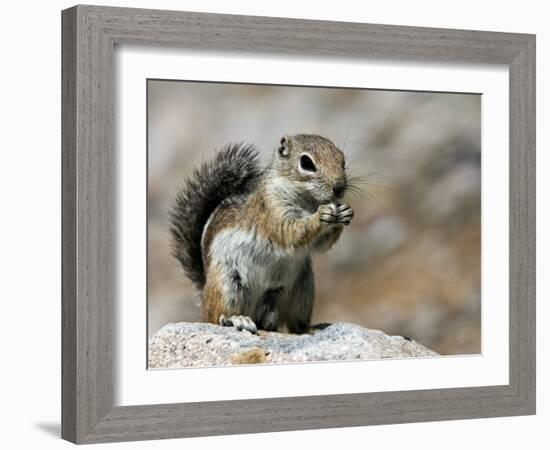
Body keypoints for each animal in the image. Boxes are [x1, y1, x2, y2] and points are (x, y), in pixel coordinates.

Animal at [170, 134, 356, 334]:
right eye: (306, 162)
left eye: (343, 160)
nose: (339, 187)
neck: (308, 201)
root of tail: (204, 292)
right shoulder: (273, 209)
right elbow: (291, 232)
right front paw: (321, 215)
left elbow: (321, 245)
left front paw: (344, 212)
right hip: (228, 284)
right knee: (216, 317)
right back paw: (237, 319)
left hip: (301, 290)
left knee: (293, 324)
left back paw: (307, 328)